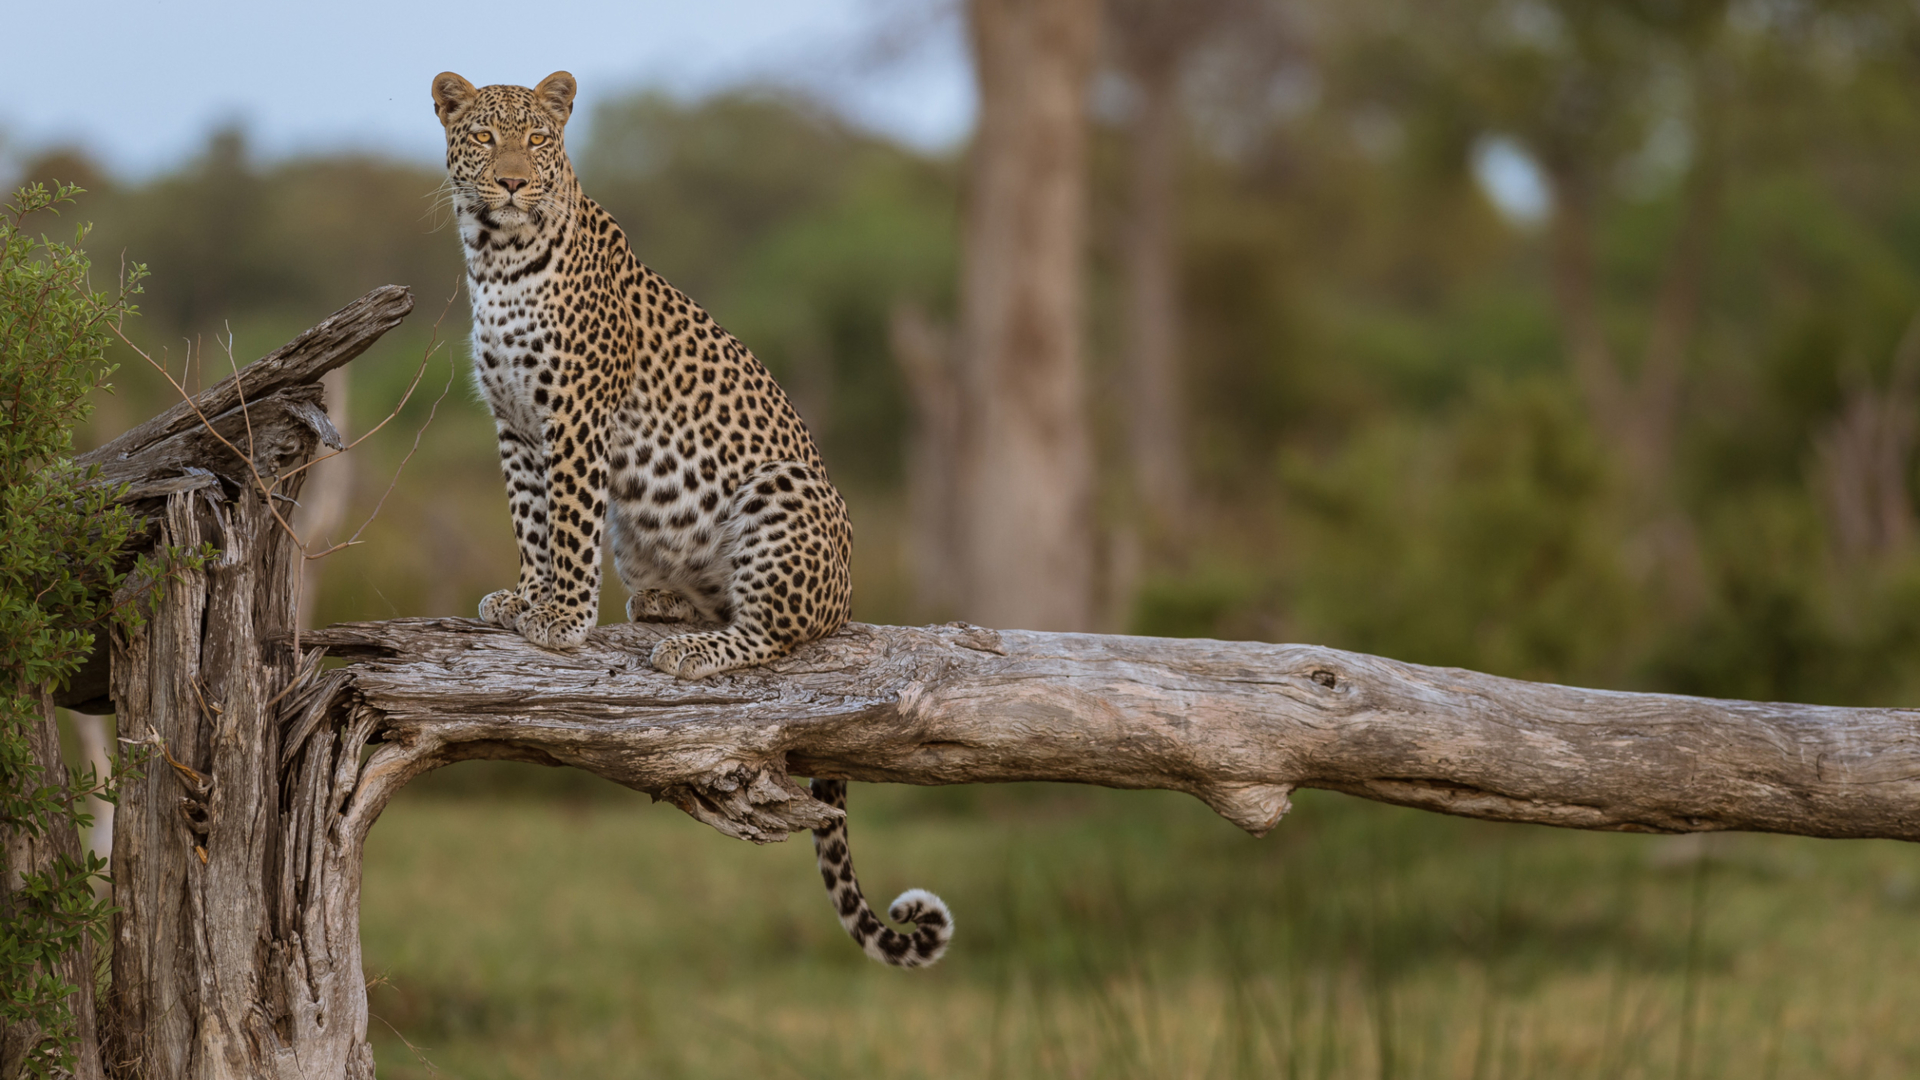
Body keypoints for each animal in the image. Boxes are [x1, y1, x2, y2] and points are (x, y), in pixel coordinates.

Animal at [431, 70, 950, 968]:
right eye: (484, 137)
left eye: (537, 140)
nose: (512, 182)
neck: (496, 259)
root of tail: (849, 596)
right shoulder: (512, 423)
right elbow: (530, 518)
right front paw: (523, 599)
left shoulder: (576, 415)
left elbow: (568, 520)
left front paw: (560, 621)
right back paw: (665, 605)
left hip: (784, 493)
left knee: (775, 633)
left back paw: (693, 650)